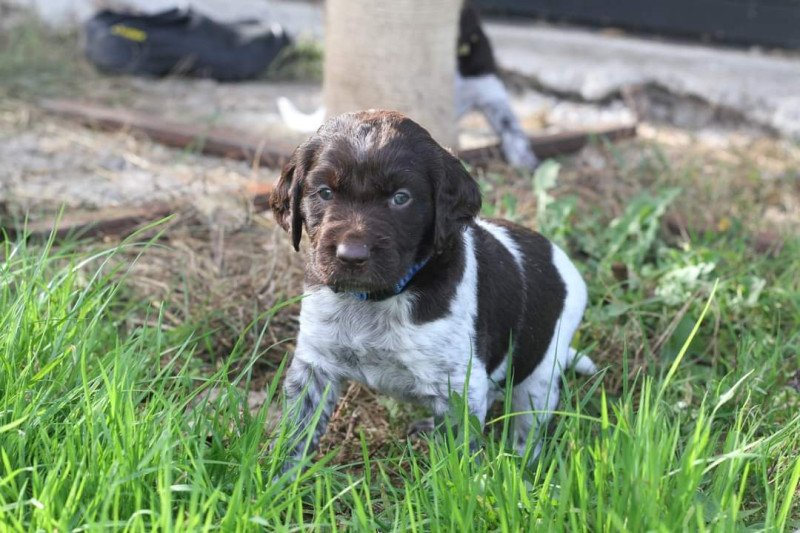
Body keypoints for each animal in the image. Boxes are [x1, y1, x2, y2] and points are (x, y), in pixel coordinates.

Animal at [268, 109, 592, 466]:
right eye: (325, 192)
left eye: (401, 198)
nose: (351, 256)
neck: (375, 299)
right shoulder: (315, 364)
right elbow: (296, 433)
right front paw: (281, 476)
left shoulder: (458, 386)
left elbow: (458, 456)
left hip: (541, 374)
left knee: (527, 427)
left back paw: (522, 464)